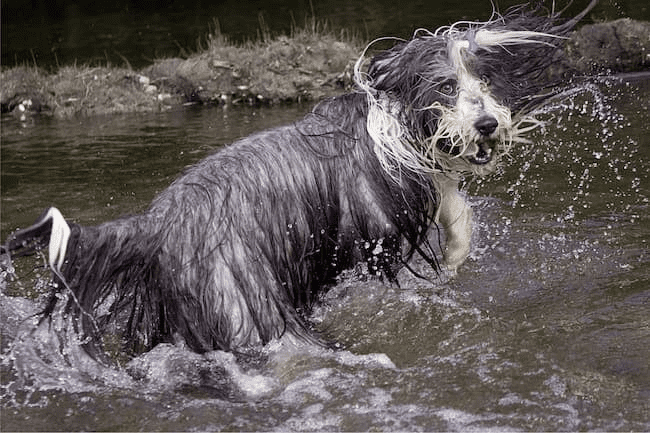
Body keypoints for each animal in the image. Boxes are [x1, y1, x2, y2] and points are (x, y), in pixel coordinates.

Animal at [2, 1, 596, 358]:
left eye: (485, 79)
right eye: (447, 86)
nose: (489, 124)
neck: (391, 123)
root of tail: (155, 226)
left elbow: (455, 204)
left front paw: (455, 251)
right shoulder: (377, 221)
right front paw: (450, 258)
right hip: (244, 302)